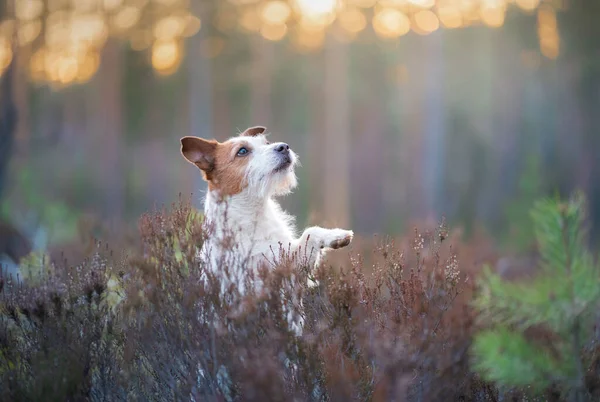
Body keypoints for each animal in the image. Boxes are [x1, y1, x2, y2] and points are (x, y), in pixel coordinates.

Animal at [180, 125, 354, 314]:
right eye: (242, 151)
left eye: (266, 143)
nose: (284, 147)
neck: (254, 213)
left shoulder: (292, 267)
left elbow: (311, 232)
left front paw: (337, 236)